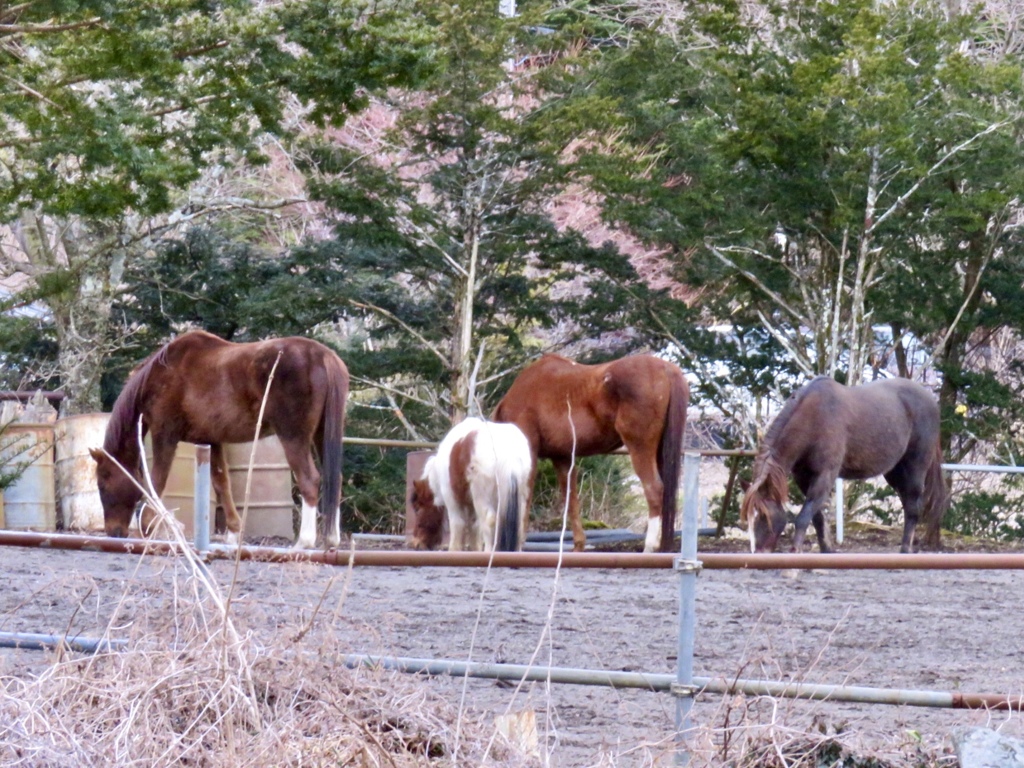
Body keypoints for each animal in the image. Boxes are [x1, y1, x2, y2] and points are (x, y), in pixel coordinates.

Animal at [89, 329, 352, 548]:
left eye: (103, 483)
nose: (113, 532)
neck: (163, 374)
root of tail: (324, 356)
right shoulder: (211, 440)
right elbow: (221, 483)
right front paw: (234, 533)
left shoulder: (165, 435)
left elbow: (156, 483)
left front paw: (150, 526)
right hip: (321, 434)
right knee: (335, 479)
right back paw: (332, 539)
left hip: (293, 436)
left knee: (309, 480)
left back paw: (304, 543)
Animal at [407, 421, 532, 552]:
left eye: (417, 509)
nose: (416, 543)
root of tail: (510, 455)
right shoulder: (471, 504)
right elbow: (474, 526)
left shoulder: (452, 499)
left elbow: (457, 524)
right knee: (519, 524)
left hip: (481, 497)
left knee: (489, 521)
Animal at [493, 354, 688, 552]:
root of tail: (666, 369)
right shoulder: (563, 458)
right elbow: (571, 499)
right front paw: (579, 545)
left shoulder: (531, 454)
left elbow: (527, 497)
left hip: (640, 449)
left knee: (654, 490)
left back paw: (649, 547)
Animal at [741, 376, 946, 552]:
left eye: (765, 515)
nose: (759, 551)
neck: (814, 416)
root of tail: (931, 399)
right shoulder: (803, 477)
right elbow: (816, 517)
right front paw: (827, 550)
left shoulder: (825, 474)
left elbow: (804, 517)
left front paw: (795, 552)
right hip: (895, 473)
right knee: (908, 505)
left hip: (915, 469)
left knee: (913, 508)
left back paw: (905, 550)